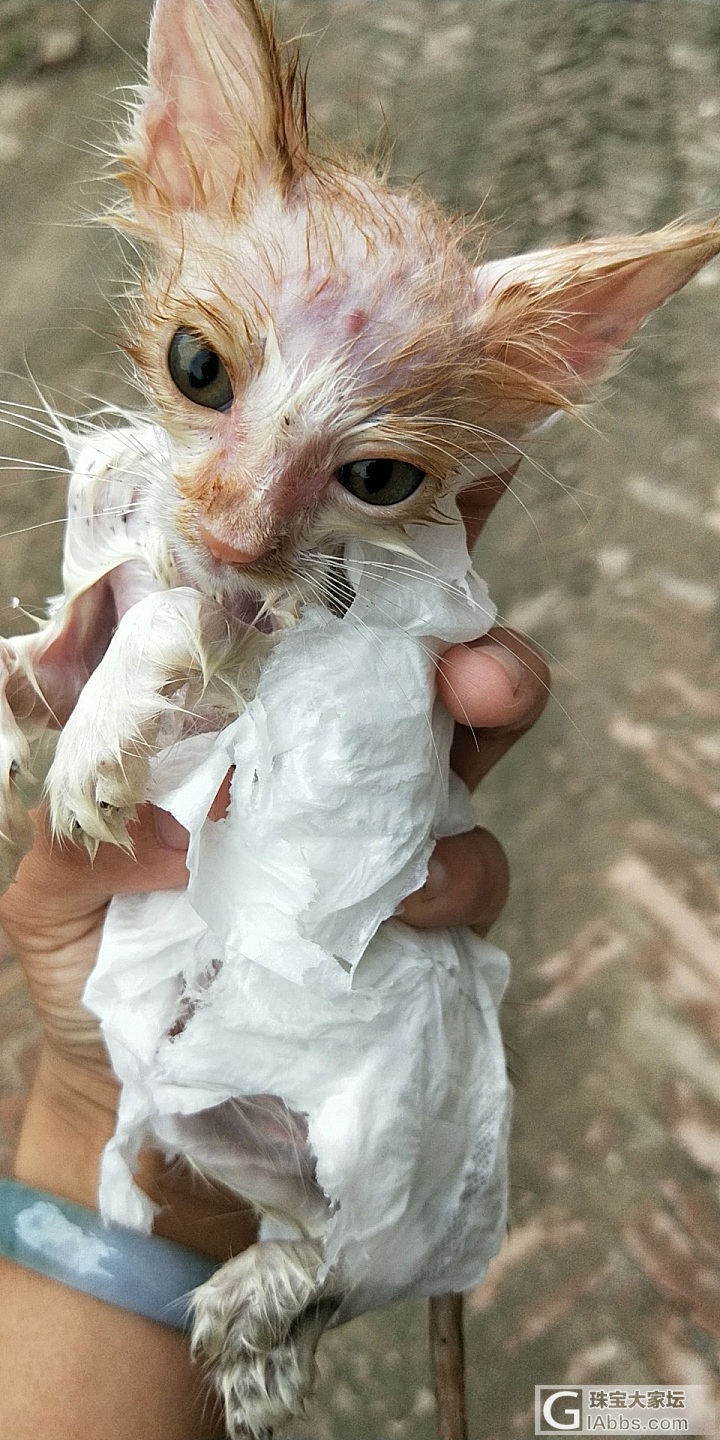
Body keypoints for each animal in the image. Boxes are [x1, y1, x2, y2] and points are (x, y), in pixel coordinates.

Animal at [1, 2, 720, 1440]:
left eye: (380, 479)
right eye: (195, 367)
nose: (236, 538)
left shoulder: (276, 640)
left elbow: (175, 628)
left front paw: (98, 742)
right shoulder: (141, 561)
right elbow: (71, 627)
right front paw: (45, 696)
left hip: (385, 1155)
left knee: (360, 1261)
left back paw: (263, 1321)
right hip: (200, 1124)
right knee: (285, 1230)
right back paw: (260, 1337)